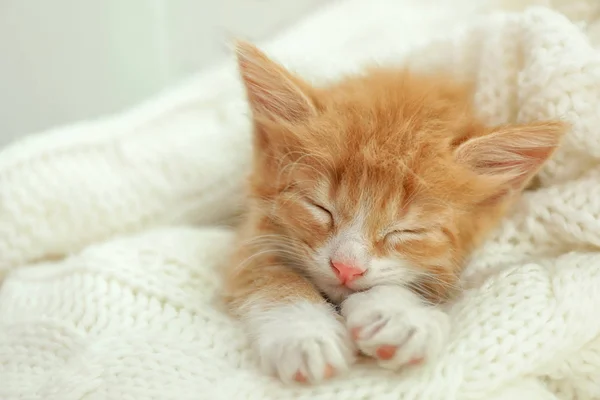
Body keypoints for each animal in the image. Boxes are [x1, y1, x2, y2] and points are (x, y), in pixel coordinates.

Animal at [225, 40, 568, 384]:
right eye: (319, 207)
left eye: (407, 230)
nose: (346, 268)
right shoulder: (251, 232)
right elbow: (266, 268)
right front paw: (304, 332)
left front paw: (399, 316)